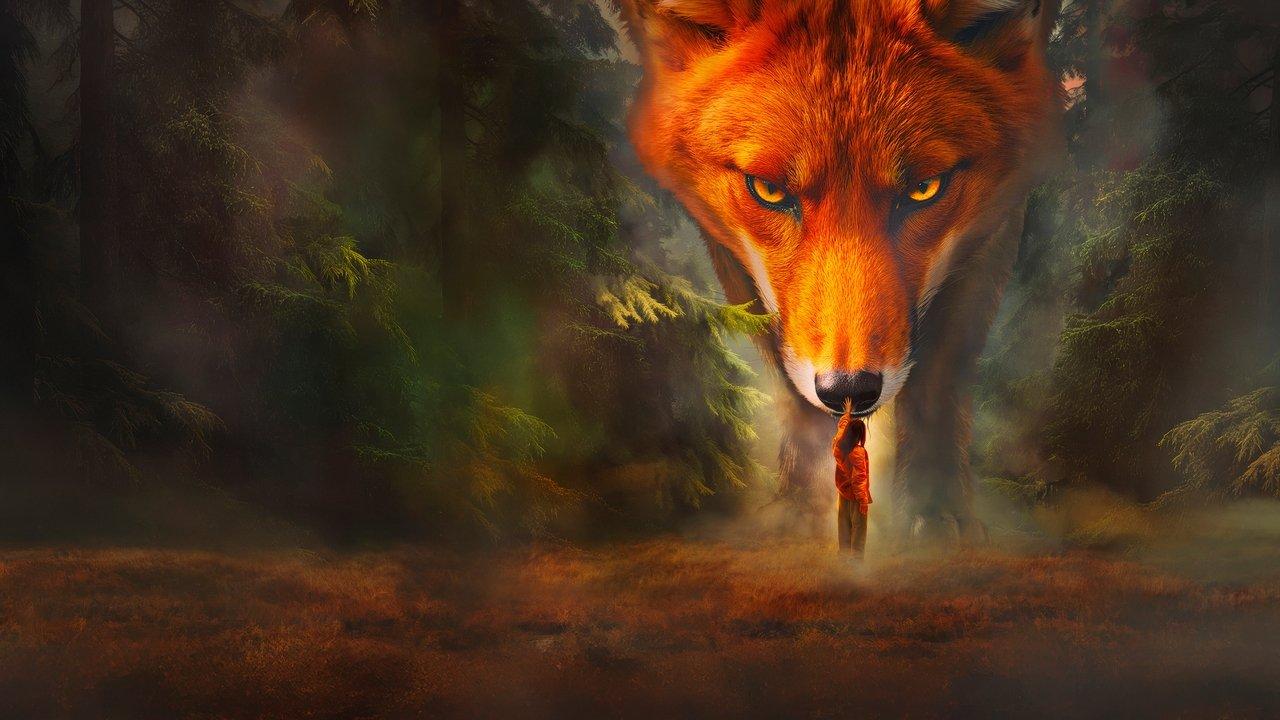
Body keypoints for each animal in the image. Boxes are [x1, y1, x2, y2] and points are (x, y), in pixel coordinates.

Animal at [620, 0, 1062, 542]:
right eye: (769, 190)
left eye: (923, 189)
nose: (849, 391)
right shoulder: (727, 245)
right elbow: (791, 386)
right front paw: (801, 509)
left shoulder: (993, 220)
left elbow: (938, 381)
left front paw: (935, 509)